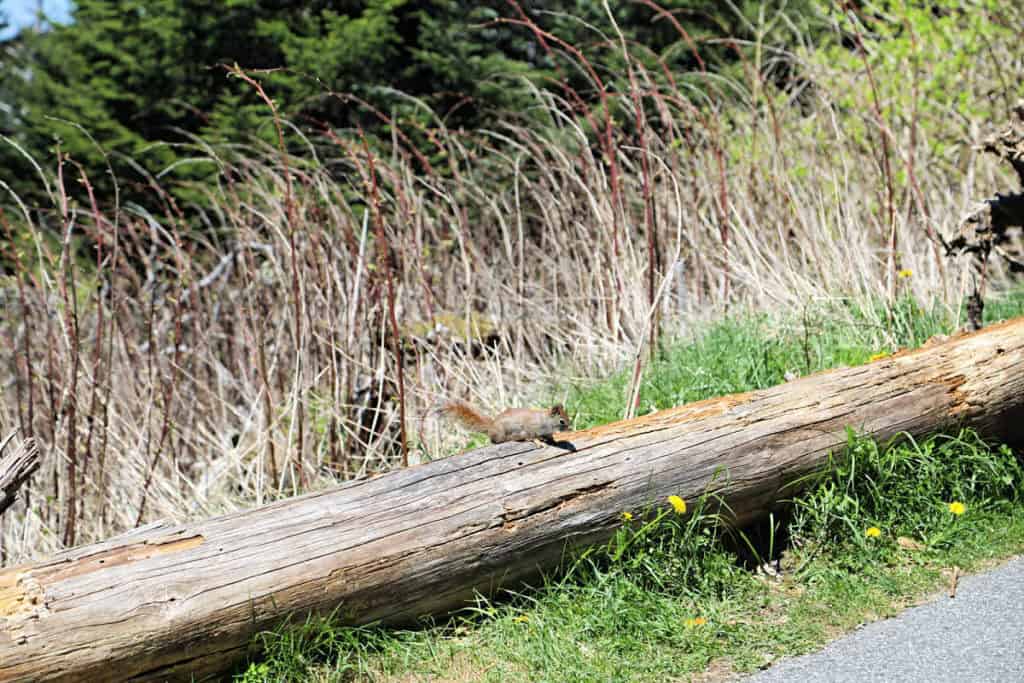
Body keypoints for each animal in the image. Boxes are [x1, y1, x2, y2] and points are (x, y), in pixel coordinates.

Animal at [441, 400, 570, 445]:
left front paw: (553, 440)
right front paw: (539, 442)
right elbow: (532, 437)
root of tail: (491, 427)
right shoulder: (531, 428)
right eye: (562, 421)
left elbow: (549, 436)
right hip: (503, 433)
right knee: (496, 441)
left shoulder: (547, 432)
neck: (545, 420)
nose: (569, 428)